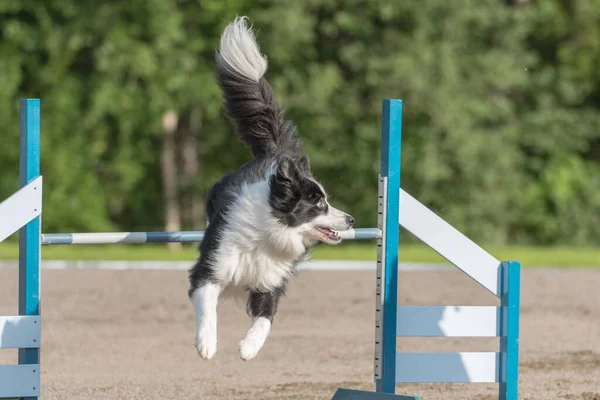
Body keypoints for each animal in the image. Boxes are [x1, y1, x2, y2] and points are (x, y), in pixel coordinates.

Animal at [188, 18, 354, 362]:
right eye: (319, 204)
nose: (351, 219)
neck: (271, 233)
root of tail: (275, 151)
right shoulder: (209, 268)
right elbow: (208, 306)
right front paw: (206, 344)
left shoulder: (270, 280)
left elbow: (266, 319)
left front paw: (249, 348)